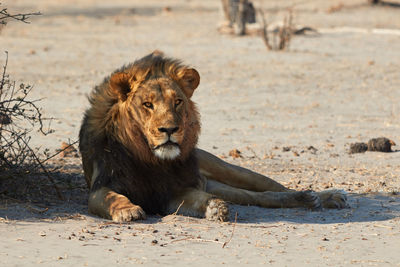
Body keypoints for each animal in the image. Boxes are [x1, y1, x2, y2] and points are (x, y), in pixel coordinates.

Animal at [79, 51, 346, 223]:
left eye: (177, 102)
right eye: (147, 104)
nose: (170, 129)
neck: (151, 159)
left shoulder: (177, 190)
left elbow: (201, 198)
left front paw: (214, 207)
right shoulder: (101, 187)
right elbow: (113, 198)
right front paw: (128, 211)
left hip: (230, 170)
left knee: (271, 189)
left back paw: (322, 197)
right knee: (257, 197)